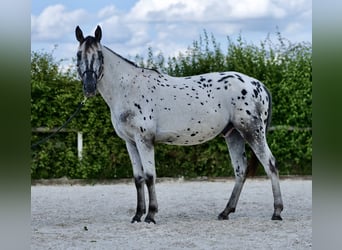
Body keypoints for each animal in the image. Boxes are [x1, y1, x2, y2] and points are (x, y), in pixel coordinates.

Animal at [74, 25, 284, 225]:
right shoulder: (130, 142)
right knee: (240, 170)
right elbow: (138, 178)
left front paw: (150, 215)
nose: (89, 87)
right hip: (233, 134)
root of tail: (258, 85)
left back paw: (277, 212)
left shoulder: (144, 140)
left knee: (270, 164)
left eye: (100, 55)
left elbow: (149, 176)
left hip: (252, 131)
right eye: (78, 55)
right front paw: (137, 215)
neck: (128, 88)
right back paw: (225, 212)